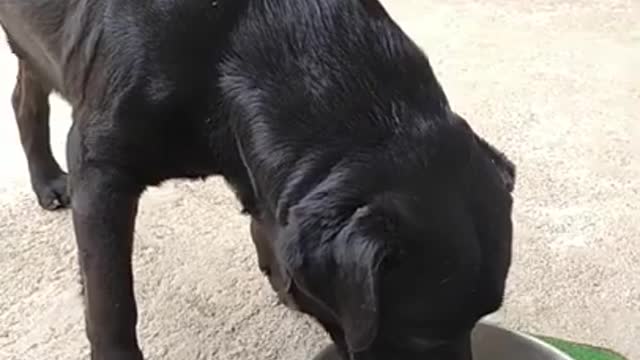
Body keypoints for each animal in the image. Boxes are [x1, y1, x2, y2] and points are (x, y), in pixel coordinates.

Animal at [0, 0, 516, 360]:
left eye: (482, 317)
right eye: (421, 336)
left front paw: (281, 275)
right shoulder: (101, 167)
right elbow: (111, 302)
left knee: (24, 92)